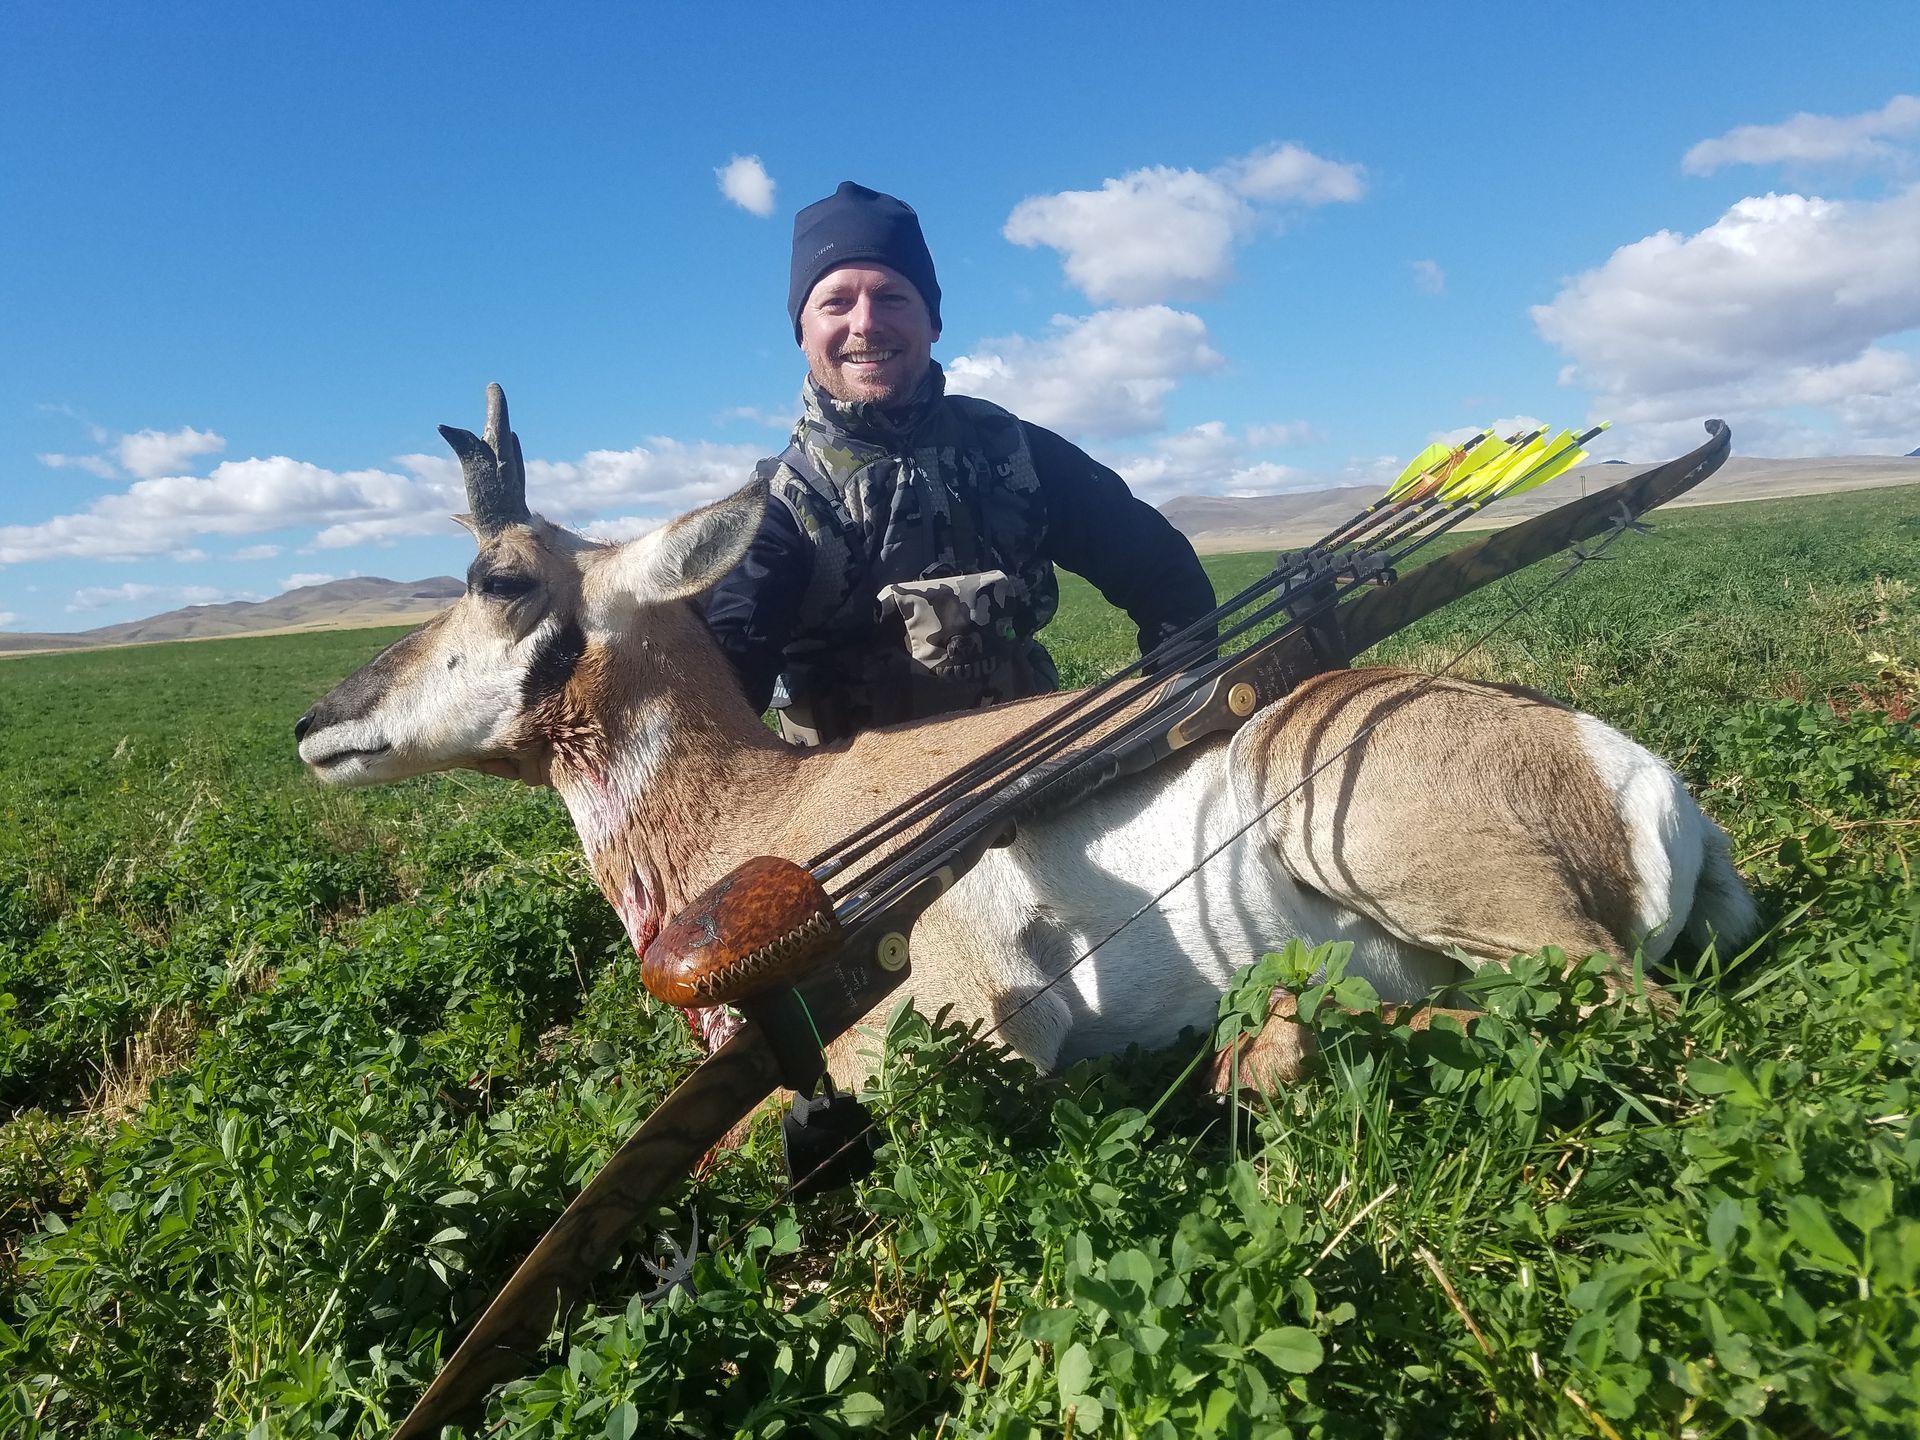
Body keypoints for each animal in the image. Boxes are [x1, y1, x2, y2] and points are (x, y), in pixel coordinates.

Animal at [295, 390, 1758, 1090]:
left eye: (498, 576)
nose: (315, 721)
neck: (767, 818)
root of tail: (1640, 780)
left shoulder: (939, 1013)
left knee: (1619, 1015)